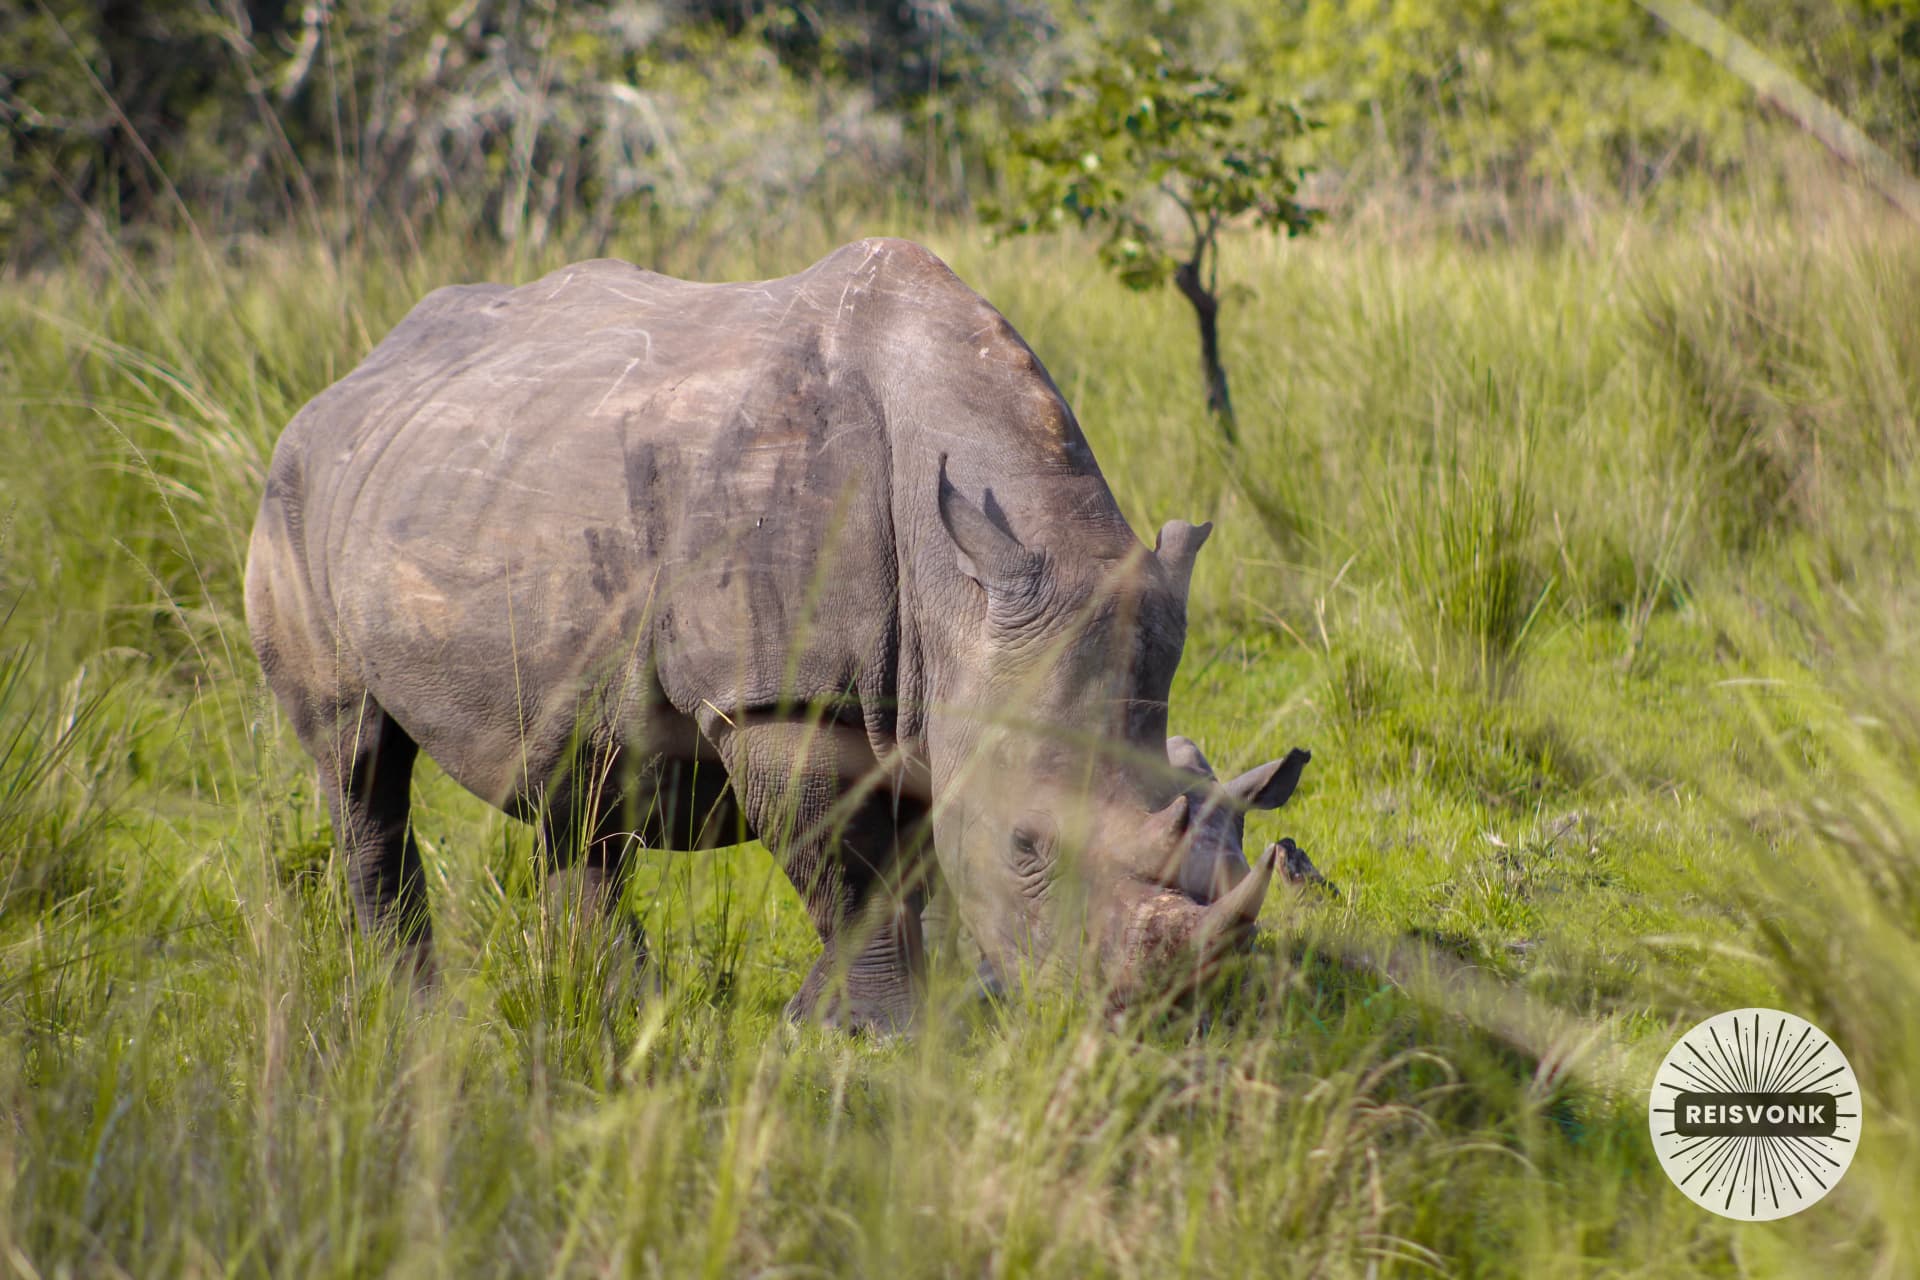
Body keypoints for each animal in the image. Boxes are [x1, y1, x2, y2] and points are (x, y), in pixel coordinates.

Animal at [244, 237, 1313, 1028]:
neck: (964, 594)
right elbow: (849, 870)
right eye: (1025, 847)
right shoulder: (784, 697)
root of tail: (353, 375)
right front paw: (877, 1031)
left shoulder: (926, 695)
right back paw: (419, 1010)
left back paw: (619, 1009)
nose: (1148, 1019)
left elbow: (897, 870)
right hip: (293, 493)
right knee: (358, 759)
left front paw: (871, 1017)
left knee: (576, 776)